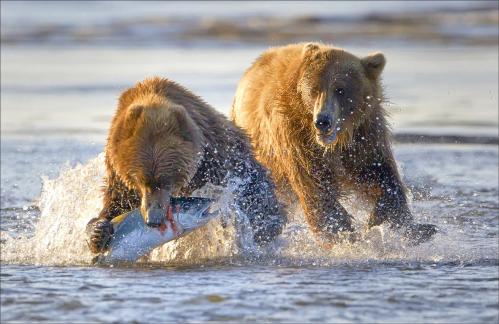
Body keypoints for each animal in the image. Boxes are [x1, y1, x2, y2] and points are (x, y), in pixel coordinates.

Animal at [87, 76, 286, 253]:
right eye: (140, 180)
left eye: (166, 181)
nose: (153, 220)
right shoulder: (118, 175)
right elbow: (115, 205)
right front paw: (98, 232)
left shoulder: (217, 161)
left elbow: (250, 195)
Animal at [231, 42, 438, 246]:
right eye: (314, 89)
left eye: (341, 90)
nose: (323, 121)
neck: (335, 142)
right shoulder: (294, 136)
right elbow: (314, 184)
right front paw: (341, 234)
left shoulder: (363, 136)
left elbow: (380, 173)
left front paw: (403, 224)